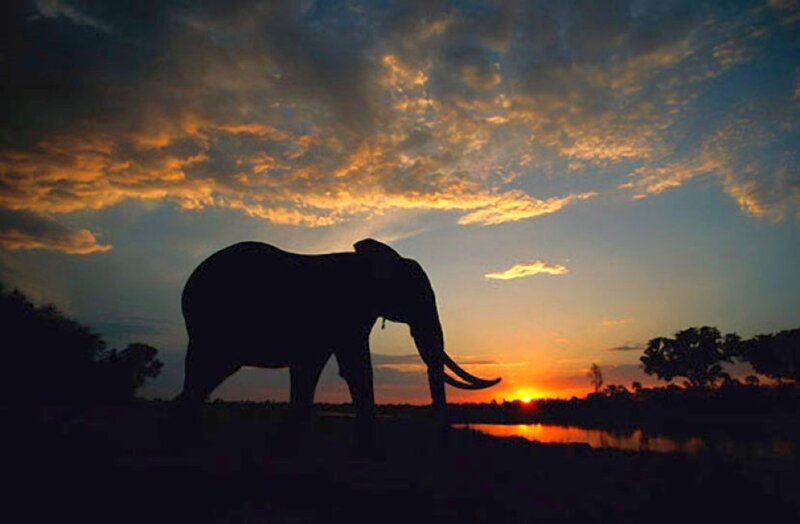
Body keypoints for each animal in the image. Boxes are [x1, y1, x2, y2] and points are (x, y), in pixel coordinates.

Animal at [176, 238, 500, 440]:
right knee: (205, 371)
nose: (440, 440)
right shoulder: (345, 313)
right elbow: (352, 369)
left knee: (203, 377)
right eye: (417, 296)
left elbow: (337, 369)